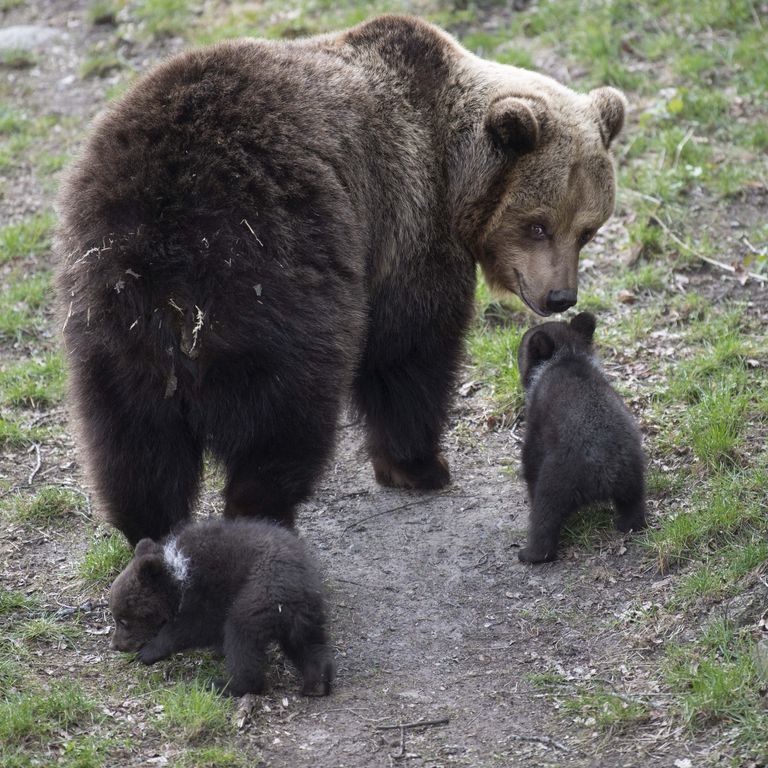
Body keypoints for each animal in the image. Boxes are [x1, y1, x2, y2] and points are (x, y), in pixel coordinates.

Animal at [57, 15, 628, 544]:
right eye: (537, 224)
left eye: (587, 229)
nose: (560, 295)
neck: (455, 171)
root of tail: (167, 231)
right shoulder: (408, 218)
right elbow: (407, 349)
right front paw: (419, 464)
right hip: (273, 269)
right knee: (289, 407)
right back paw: (264, 514)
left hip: (107, 303)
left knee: (131, 435)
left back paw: (149, 527)